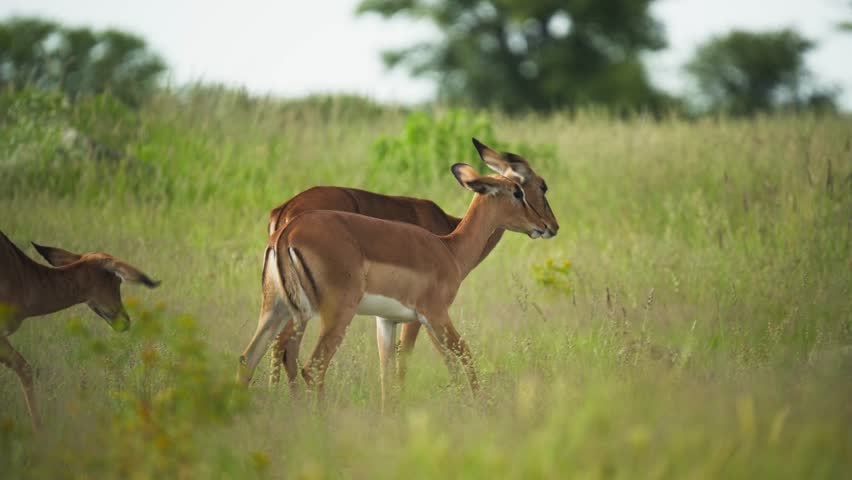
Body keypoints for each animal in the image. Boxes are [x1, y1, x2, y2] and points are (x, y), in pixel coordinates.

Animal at [238, 138, 558, 409]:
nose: (548, 226)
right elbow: (459, 355)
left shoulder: (387, 320)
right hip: (332, 313)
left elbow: (388, 372)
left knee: (250, 358)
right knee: (309, 365)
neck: (450, 247)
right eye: (523, 190)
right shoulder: (432, 315)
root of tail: (285, 229)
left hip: (277, 308)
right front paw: (479, 407)